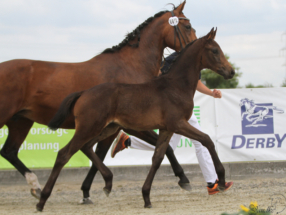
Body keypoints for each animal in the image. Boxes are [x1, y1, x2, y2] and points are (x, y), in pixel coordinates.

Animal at [0, 1, 196, 200]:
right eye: (188, 26)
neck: (129, 66)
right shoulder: (131, 125)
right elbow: (166, 148)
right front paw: (183, 179)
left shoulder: (112, 127)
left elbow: (99, 155)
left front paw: (87, 190)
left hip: (21, 121)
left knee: (9, 152)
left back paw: (36, 186)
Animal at [39, 27, 235, 211]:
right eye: (215, 50)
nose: (231, 72)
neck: (175, 86)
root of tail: (83, 93)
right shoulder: (178, 123)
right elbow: (207, 140)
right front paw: (221, 180)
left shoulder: (166, 128)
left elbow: (157, 158)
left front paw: (146, 196)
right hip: (89, 127)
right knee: (64, 154)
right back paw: (42, 200)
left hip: (107, 128)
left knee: (86, 147)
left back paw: (108, 182)